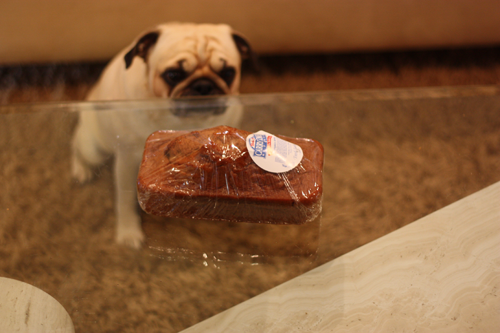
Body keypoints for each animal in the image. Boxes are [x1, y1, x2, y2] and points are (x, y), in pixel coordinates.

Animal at [72, 22, 252, 246]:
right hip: (95, 148)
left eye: (228, 73)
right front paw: (128, 231)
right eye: (173, 75)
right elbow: (125, 199)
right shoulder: (127, 161)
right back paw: (80, 169)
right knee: (77, 144)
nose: (203, 86)